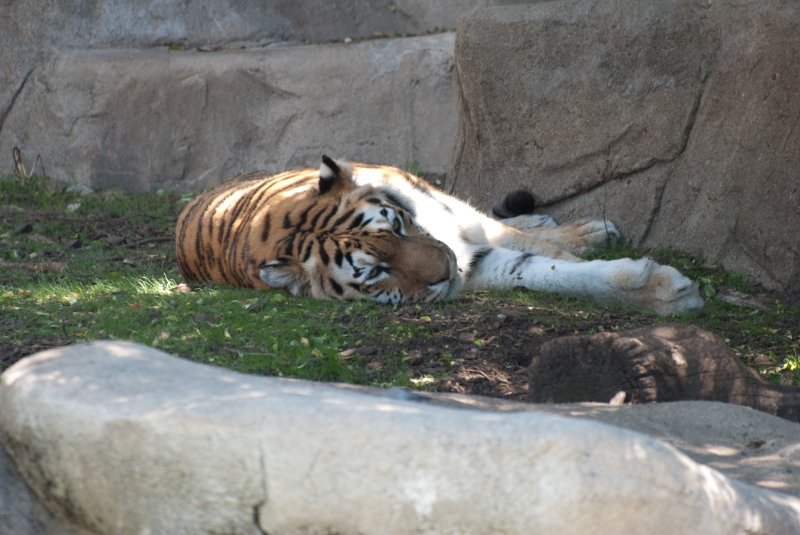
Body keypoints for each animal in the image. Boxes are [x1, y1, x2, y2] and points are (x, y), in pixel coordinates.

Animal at [175, 155, 704, 316]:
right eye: (376, 273)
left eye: (397, 225)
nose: (447, 270)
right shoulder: (478, 265)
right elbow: (540, 270)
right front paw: (669, 292)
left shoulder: (459, 227)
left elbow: (544, 254)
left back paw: (585, 228)